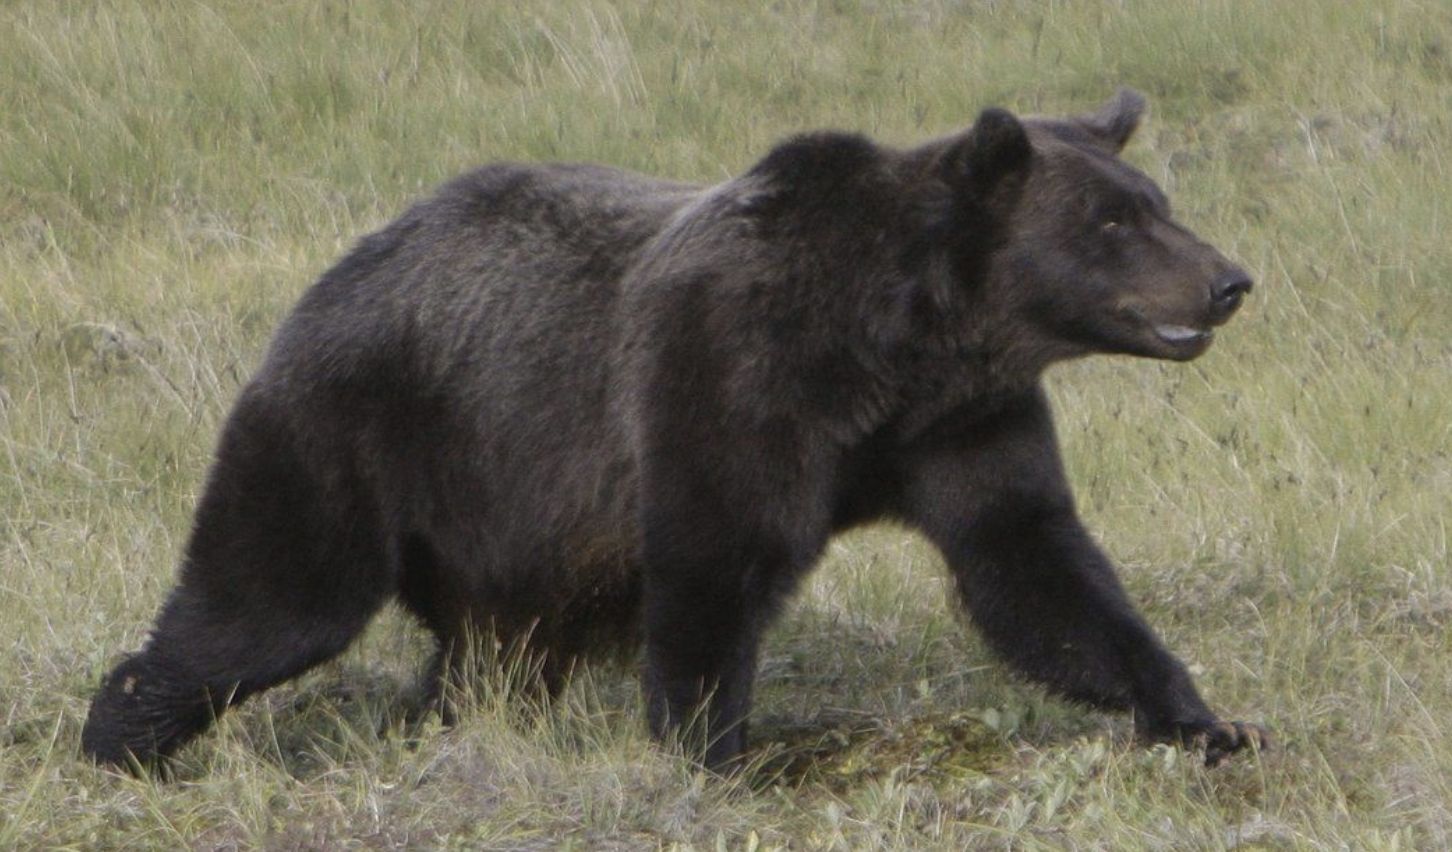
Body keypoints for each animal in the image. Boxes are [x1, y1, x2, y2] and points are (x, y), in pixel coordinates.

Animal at [83, 89, 1266, 773]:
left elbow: (1036, 566)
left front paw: (1204, 718)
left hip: (511, 527)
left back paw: (445, 725)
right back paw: (124, 737)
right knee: (271, 598)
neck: (898, 345)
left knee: (491, 654)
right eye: (1112, 222)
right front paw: (718, 757)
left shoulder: (962, 426)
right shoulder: (732, 377)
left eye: (1154, 200)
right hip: (362, 430)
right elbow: (715, 561)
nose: (1228, 281)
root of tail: (339, 268)